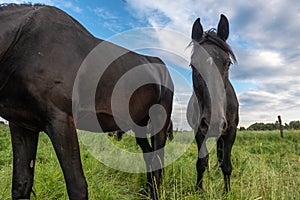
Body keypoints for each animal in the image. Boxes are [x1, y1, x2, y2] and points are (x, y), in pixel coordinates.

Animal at [0, 3, 173, 200]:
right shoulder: (22, 125)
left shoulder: (61, 120)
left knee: (158, 159)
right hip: (139, 124)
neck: (21, 40)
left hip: (160, 121)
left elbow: (77, 186)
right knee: (149, 155)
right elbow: (21, 184)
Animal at [188, 14, 239, 192]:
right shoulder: (199, 131)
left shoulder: (231, 131)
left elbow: (227, 164)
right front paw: (199, 190)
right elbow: (201, 162)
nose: (214, 121)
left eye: (228, 63)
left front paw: (227, 191)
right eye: (193, 65)